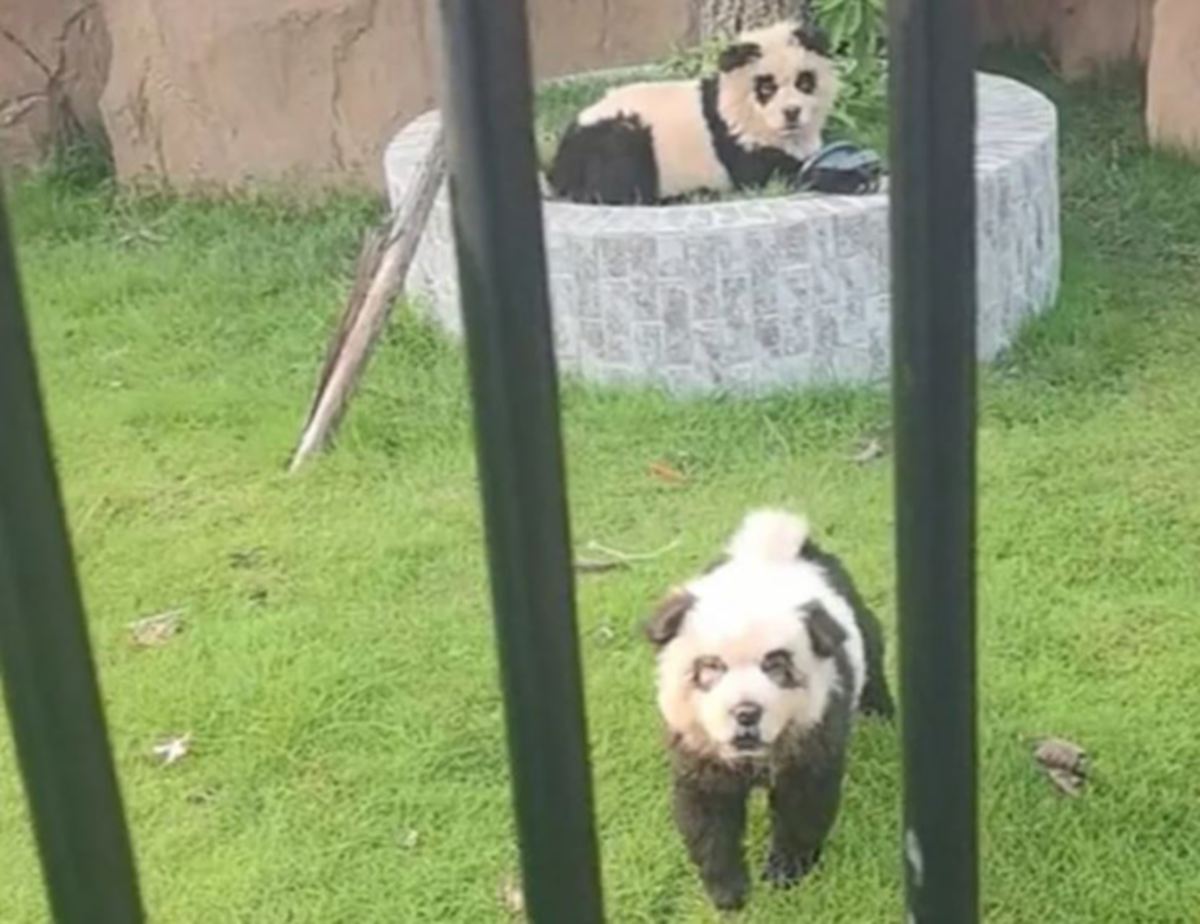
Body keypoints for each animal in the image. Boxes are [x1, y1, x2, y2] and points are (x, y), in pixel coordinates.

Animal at [549, 19, 840, 204]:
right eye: (766, 88)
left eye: (804, 82)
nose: (792, 112)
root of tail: (560, 165)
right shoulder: (736, 136)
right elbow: (771, 174)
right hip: (620, 134)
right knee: (617, 181)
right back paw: (689, 195)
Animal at [648, 511, 892, 907]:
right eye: (711, 667)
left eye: (776, 666)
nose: (746, 712)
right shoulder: (699, 751)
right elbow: (707, 817)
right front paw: (728, 892)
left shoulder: (813, 732)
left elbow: (802, 807)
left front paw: (785, 875)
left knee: (873, 656)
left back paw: (882, 715)